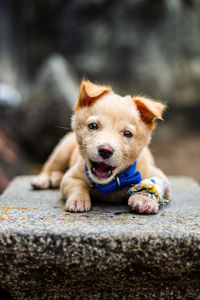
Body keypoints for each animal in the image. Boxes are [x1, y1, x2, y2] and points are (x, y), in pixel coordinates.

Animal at [30, 79, 169, 213]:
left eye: (127, 134)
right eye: (93, 126)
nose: (105, 150)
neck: (109, 184)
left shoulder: (160, 176)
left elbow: (151, 184)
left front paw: (144, 198)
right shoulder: (70, 177)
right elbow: (78, 185)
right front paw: (78, 200)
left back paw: (55, 178)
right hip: (62, 152)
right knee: (49, 166)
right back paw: (43, 179)